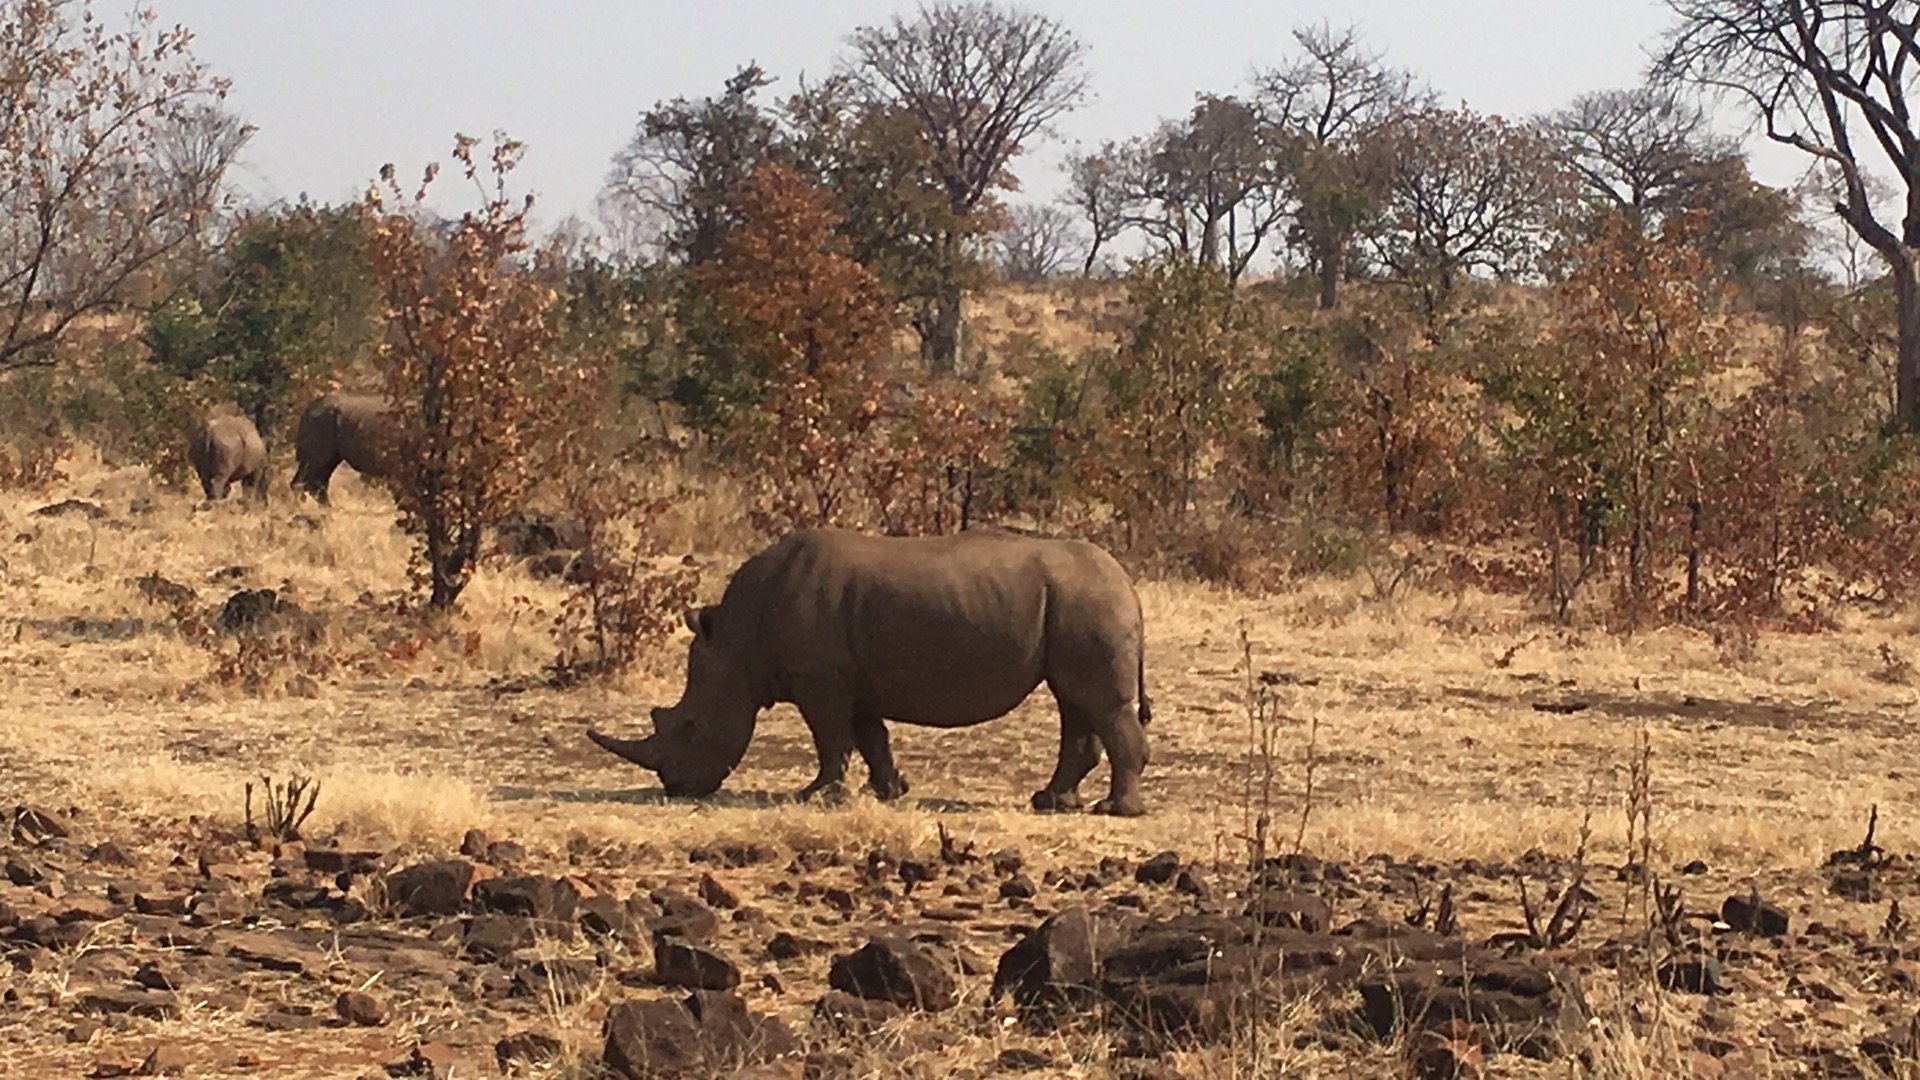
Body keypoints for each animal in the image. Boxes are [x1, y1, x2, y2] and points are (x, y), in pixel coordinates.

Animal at [583, 526, 1152, 810]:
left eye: (688, 726)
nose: (676, 787)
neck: (739, 641)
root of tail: (1127, 583)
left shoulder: (819, 679)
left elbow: (831, 738)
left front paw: (816, 796)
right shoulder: (848, 678)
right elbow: (869, 735)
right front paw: (891, 791)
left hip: (1088, 602)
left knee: (1094, 702)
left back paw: (1114, 810)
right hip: (1078, 603)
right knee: (1073, 701)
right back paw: (1051, 801)